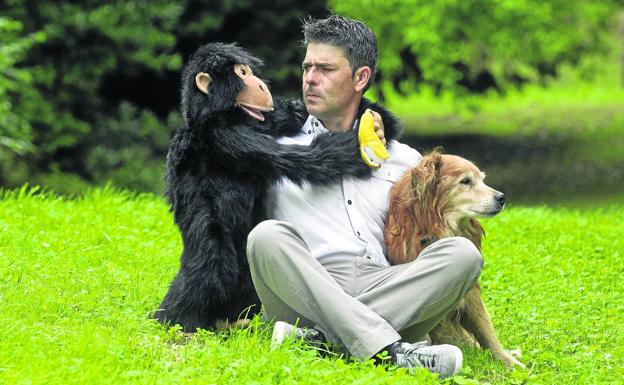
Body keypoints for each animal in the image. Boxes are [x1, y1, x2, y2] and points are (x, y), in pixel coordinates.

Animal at [386, 149, 520, 366]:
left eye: (482, 179)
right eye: (466, 181)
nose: (502, 197)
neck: (439, 228)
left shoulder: (471, 293)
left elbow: (486, 330)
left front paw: (507, 362)